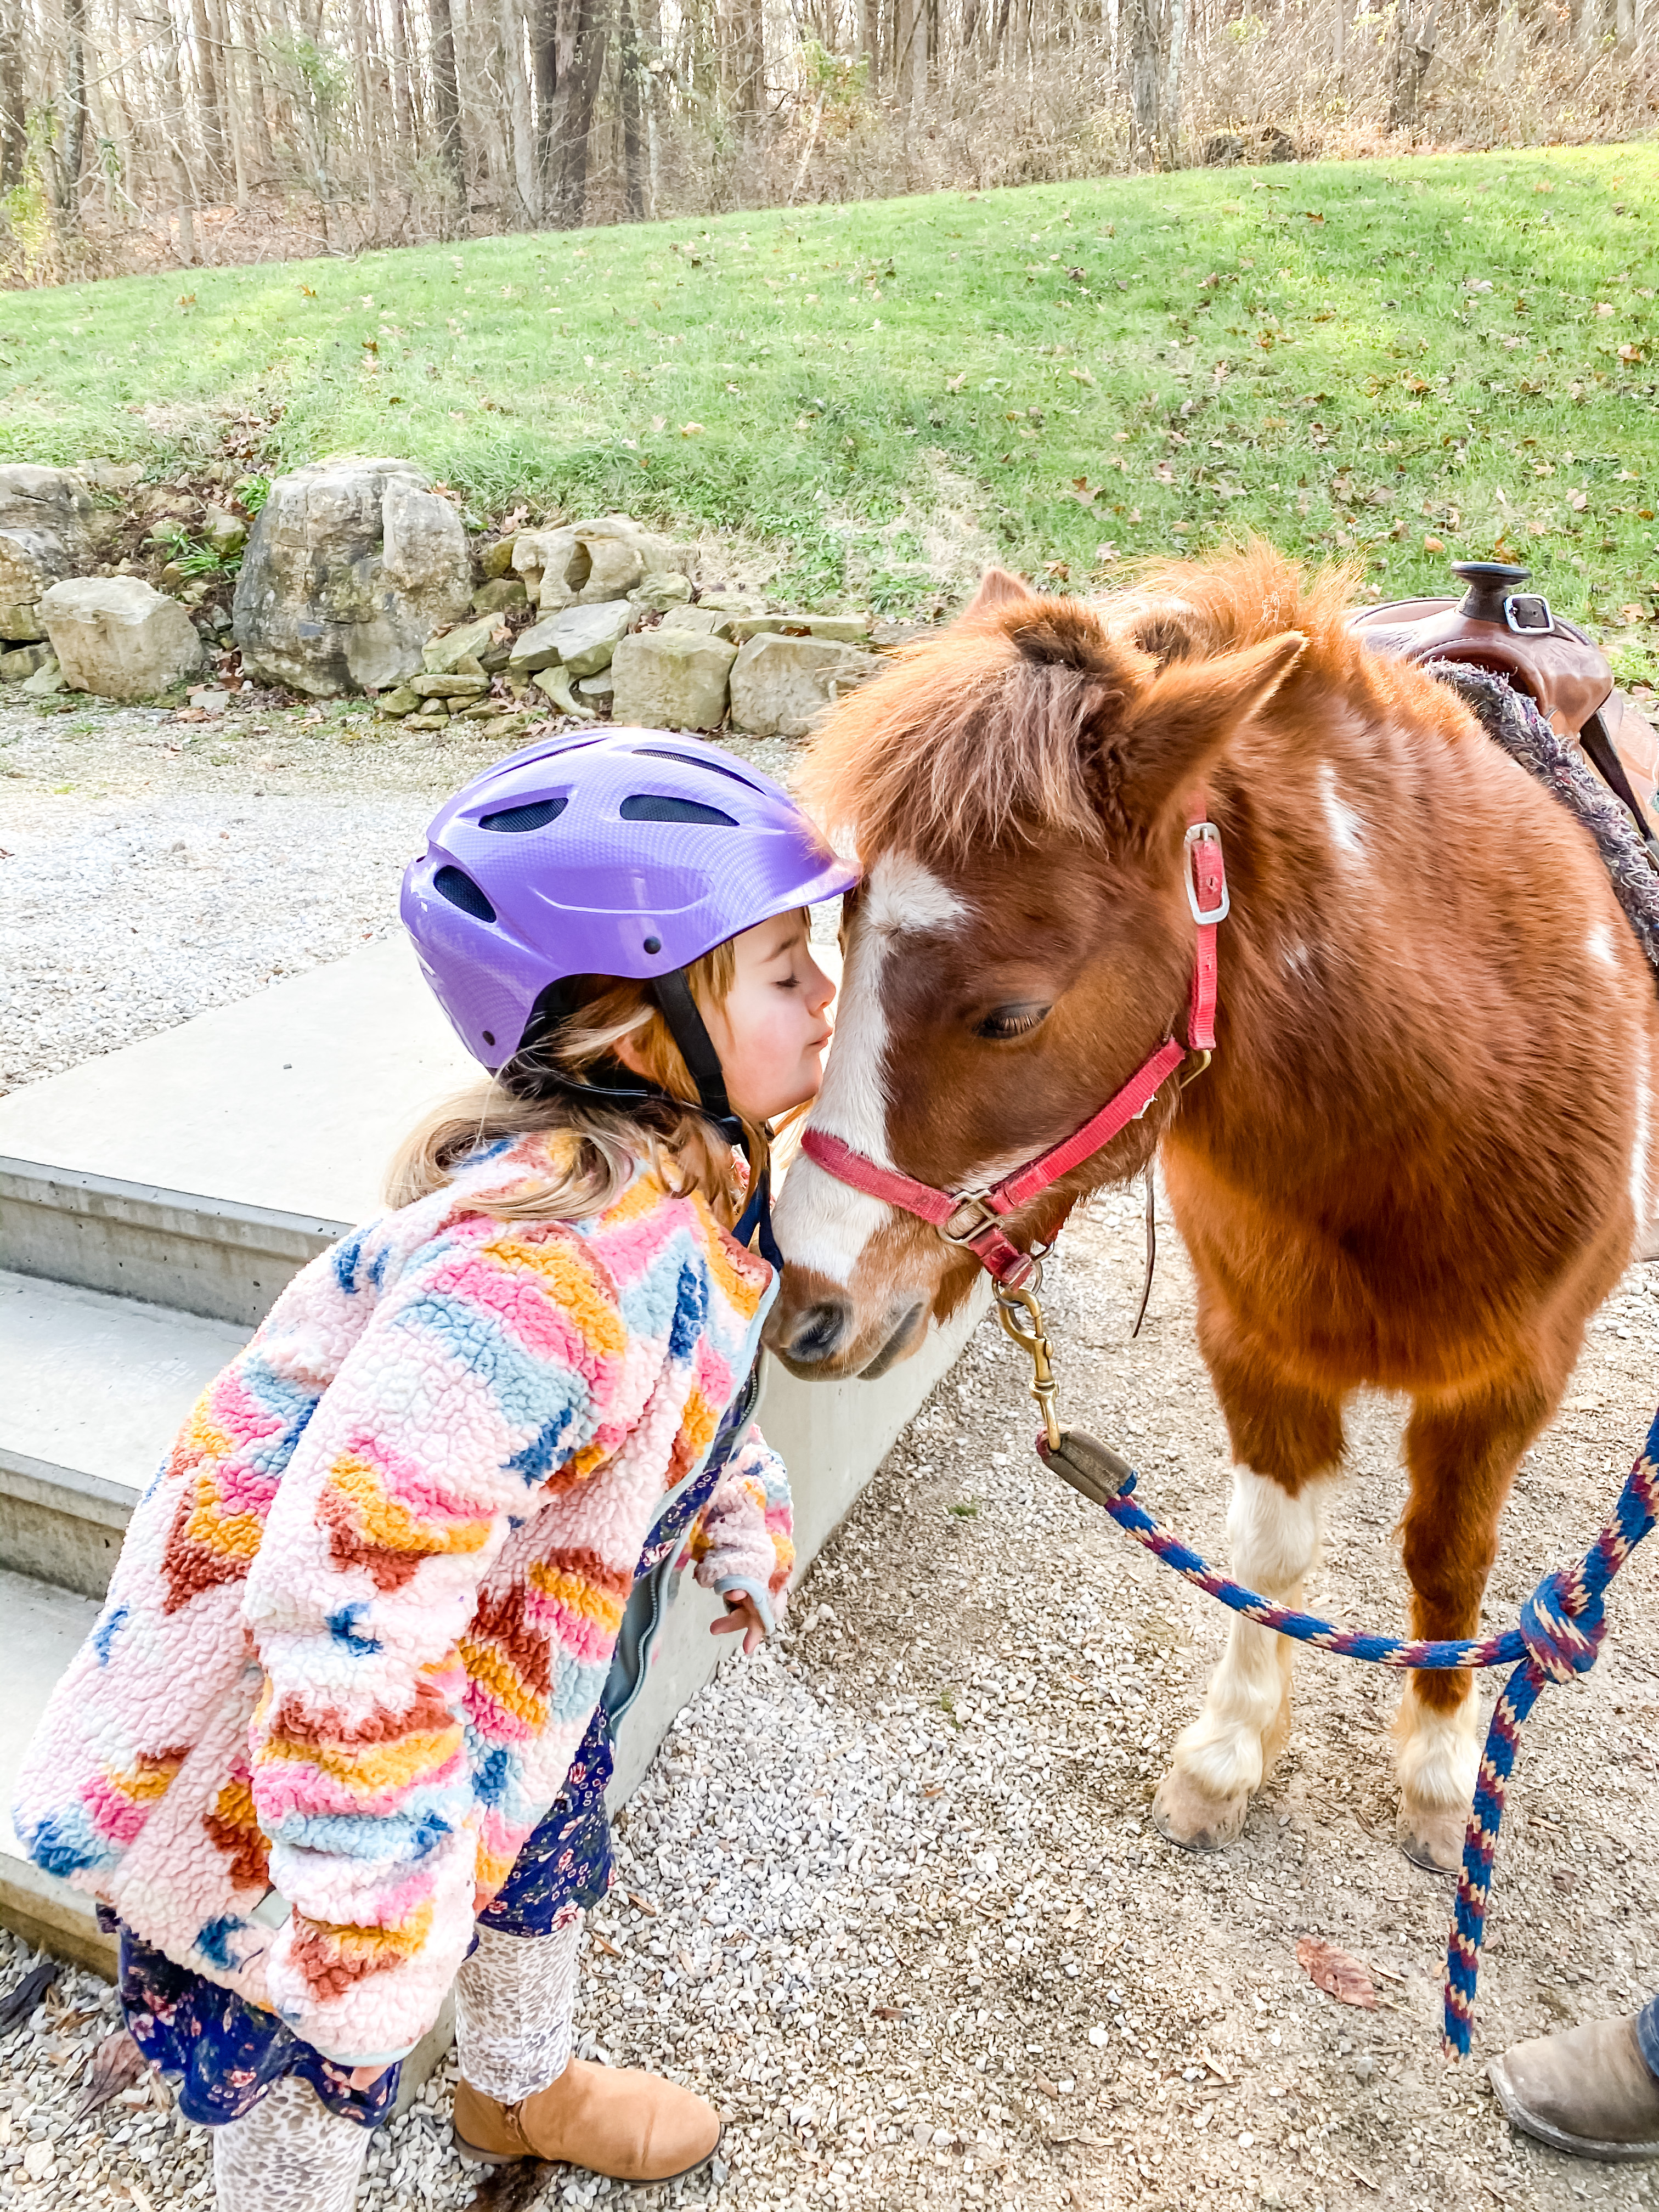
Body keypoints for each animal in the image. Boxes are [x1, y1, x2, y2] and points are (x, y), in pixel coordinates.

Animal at [765, 548, 1659, 1867]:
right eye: (844, 938)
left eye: (1010, 1015)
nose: (806, 1305)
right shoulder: (1254, 1349)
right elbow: (1267, 1554)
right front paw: (1230, 1754)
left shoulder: (1507, 1381)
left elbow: (1448, 1561)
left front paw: (1439, 1773)